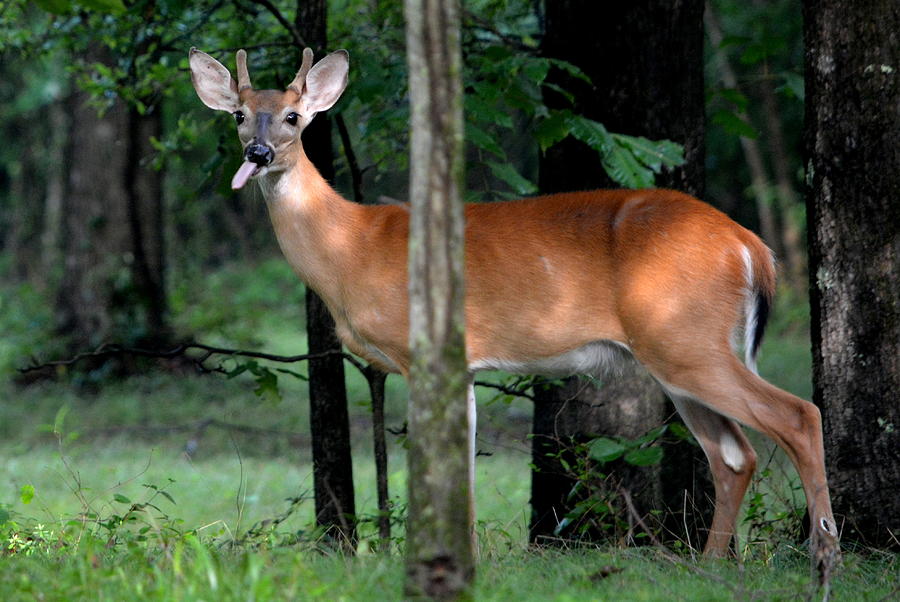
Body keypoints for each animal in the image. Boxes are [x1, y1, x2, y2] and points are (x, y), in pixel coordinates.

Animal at [186, 45, 840, 568]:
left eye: (294, 117)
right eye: (239, 114)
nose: (259, 152)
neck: (352, 248)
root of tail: (751, 248)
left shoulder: (423, 351)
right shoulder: (463, 365)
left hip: (685, 336)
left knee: (797, 415)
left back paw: (823, 552)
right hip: (679, 352)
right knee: (734, 456)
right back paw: (709, 566)